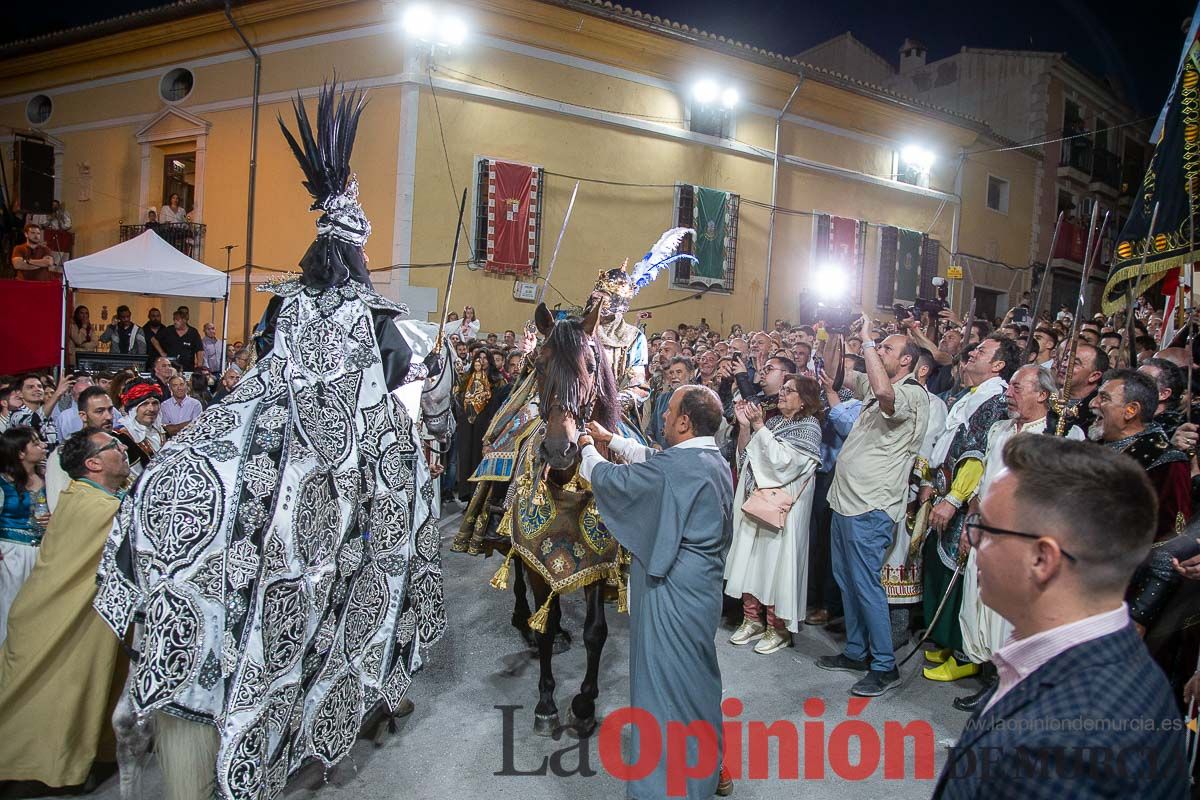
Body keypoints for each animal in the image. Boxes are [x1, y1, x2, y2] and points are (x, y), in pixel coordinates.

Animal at [487, 302, 624, 738]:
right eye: (540, 365)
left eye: (591, 366)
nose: (560, 448)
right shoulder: (535, 558)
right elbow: (544, 625)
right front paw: (546, 703)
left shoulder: (597, 563)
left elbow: (595, 632)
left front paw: (584, 704)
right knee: (517, 577)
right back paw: (523, 619)